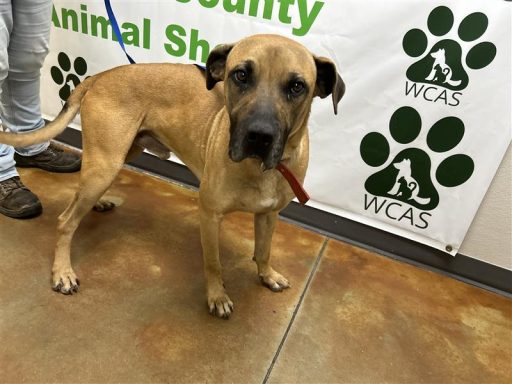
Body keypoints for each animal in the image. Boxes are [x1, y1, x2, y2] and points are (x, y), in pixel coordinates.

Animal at [1, 35, 344, 318]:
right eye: (241, 75)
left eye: (297, 86)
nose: (259, 136)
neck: (261, 169)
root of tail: (99, 76)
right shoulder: (209, 214)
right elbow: (213, 262)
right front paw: (217, 297)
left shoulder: (269, 214)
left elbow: (263, 250)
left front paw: (267, 274)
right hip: (107, 162)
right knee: (65, 221)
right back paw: (62, 272)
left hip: (115, 155)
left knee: (79, 194)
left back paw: (97, 203)